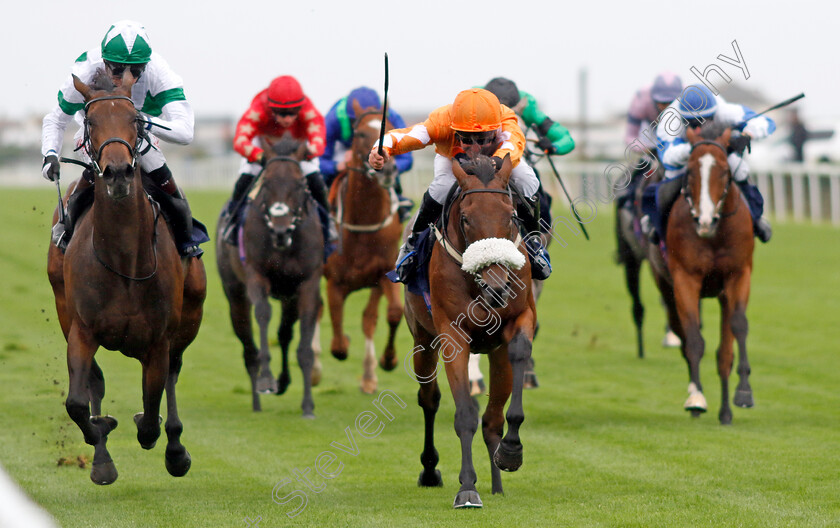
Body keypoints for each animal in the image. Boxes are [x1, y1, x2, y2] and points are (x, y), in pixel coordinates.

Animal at [46, 72, 207, 484]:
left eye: (135, 120)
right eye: (90, 121)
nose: (117, 173)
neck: (123, 258)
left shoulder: (159, 339)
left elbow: (150, 414)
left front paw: (162, 441)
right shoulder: (82, 330)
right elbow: (77, 402)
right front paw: (100, 430)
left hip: (190, 316)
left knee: (173, 374)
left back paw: (176, 450)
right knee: (95, 383)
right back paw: (102, 458)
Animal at [217, 135, 322, 416]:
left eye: (300, 184)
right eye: (266, 184)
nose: (280, 230)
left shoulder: (307, 283)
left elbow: (303, 345)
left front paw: (308, 405)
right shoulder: (256, 276)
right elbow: (263, 313)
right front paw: (266, 379)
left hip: (289, 297)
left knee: (285, 334)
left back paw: (284, 382)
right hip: (234, 294)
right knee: (248, 346)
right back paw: (257, 402)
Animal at [324, 101, 402, 394]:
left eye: (391, 129)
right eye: (359, 134)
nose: (387, 168)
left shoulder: (384, 274)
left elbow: (388, 315)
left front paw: (386, 362)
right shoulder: (334, 281)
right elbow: (337, 339)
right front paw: (342, 343)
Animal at [404, 154, 536, 508]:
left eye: (512, 215)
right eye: (465, 219)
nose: (497, 287)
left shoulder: (520, 318)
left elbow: (520, 353)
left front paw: (512, 451)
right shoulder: (452, 335)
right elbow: (464, 413)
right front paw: (467, 488)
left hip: (496, 352)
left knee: (492, 420)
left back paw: (498, 478)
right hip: (422, 341)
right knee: (429, 399)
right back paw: (429, 470)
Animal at [648, 124, 756, 424]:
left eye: (724, 170)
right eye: (691, 171)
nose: (704, 220)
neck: (714, 236)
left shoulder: (739, 274)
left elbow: (738, 327)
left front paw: (744, 392)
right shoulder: (686, 279)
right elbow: (694, 341)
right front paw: (696, 398)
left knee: (724, 352)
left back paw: (725, 412)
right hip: (667, 288)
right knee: (683, 337)